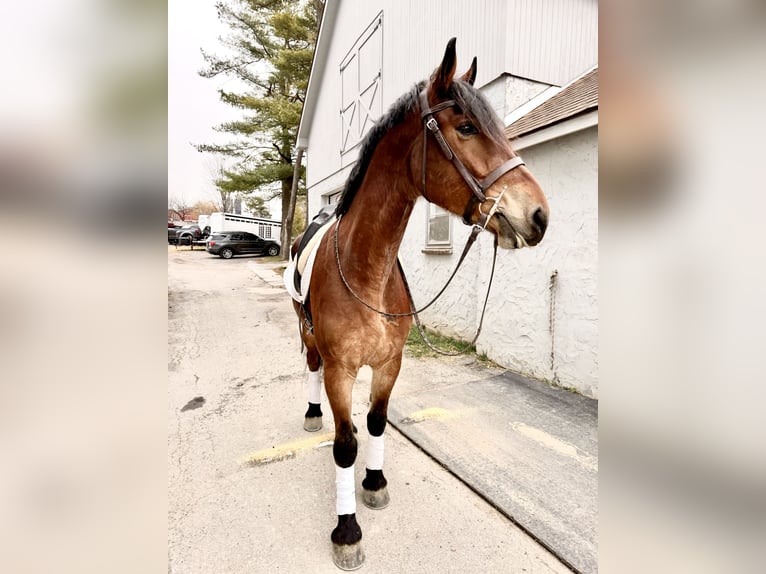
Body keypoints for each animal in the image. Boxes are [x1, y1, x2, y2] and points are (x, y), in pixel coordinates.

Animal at [289, 38, 549, 570]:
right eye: (466, 127)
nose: (539, 215)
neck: (366, 271)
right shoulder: (341, 370)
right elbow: (344, 445)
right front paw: (347, 531)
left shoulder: (390, 364)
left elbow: (374, 423)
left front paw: (374, 482)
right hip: (308, 339)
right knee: (310, 367)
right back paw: (311, 412)